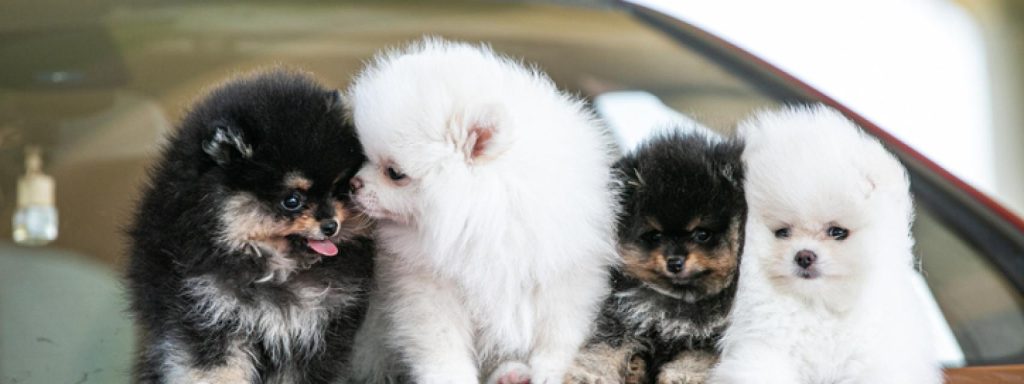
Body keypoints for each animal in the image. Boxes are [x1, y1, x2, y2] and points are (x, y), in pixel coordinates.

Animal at [124, 70, 372, 384]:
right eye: (292, 200)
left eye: (338, 189)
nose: (331, 225)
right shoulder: (209, 315)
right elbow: (215, 370)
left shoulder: (316, 329)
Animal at [346, 39, 614, 384]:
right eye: (364, 156)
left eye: (394, 173)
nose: (353, 184)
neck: (489, 217)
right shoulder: (427, 288)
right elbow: (442, 346)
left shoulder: (563, 275)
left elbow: (558, 333)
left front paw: (548, 371)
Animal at [569, 131, 745, 382]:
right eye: (655, 235)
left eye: (702, 234)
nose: (674, 262)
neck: (680, 300)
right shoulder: (623, 317)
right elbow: (606, 346)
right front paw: (591, 374)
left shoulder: (714, 335)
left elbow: (697, 358)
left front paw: (683, 376)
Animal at [712, 105, 937, 384]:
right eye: (782, 232)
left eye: (837, 232)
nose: (804, 256)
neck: (819, 308)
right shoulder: (765, 348)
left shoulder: (872, 357)